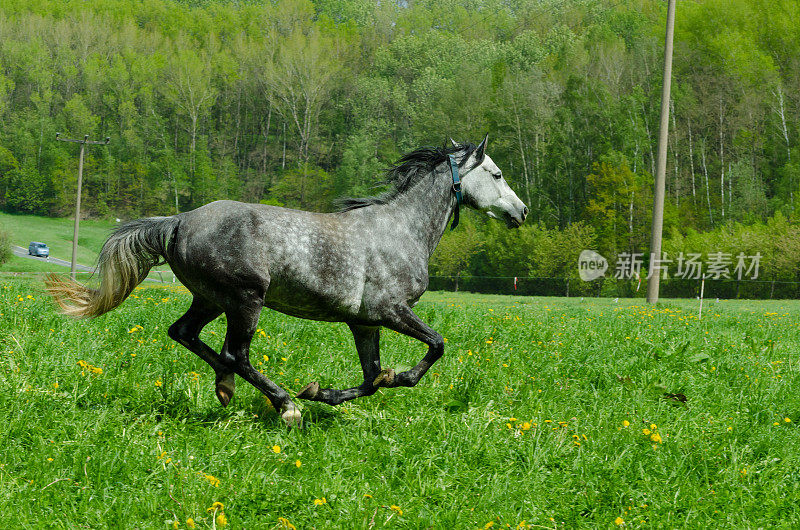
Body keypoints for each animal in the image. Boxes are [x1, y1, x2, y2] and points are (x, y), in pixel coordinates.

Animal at [47, 134, 528, 422]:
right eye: (497, 173)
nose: (522, 212)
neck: (401, 229)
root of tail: (179, 220)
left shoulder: (364, 322)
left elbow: (370, 379)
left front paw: (324, 393)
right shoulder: (389, 311)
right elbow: (434, 347)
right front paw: (376, 382)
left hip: (212, 298)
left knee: (186, 334)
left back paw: (226, 388)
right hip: (246, 298)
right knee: (235, 352)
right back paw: (284, 405)